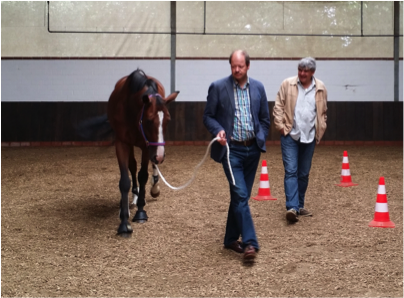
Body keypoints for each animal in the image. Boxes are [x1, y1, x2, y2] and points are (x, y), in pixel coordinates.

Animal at [107, 68, 178, 236]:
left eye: (168, 120)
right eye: (149, 121)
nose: (161, 155)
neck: (131, 110)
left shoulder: (148, 146)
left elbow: (143, 176)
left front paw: (140, 212)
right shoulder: (121, 143)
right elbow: (125, 180)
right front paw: (124, 222)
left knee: (150, 167)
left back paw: (153, 188)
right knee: (132, 166)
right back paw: (133, 197)